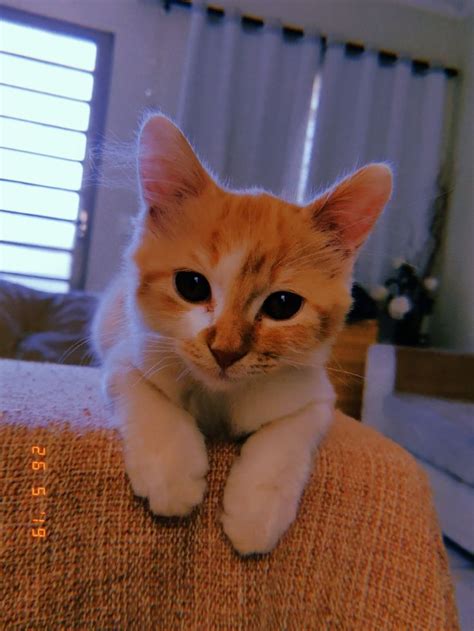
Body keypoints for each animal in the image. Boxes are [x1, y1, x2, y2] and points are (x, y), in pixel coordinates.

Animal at [93, 115, 392, 556]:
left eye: (283, 304)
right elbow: (146, 395)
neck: (221, 399)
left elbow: (285, 439)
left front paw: (256, 513)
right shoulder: (128, 353)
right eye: (192, 285)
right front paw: (171, 474)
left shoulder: (314, 395)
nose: (225, 351)